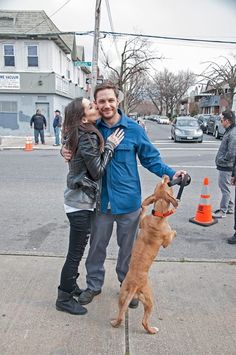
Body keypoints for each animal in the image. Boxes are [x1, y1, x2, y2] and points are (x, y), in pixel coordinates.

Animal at [111, 177, 178, 336]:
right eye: (168, 186)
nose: (166, 176)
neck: (159, 215)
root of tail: (135, 285)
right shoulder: (166, 241)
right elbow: (171, 235)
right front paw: (176, 232)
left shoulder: (142, 222)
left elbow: (142, 213)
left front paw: (143, 208)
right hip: (149, 301)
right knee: (144, 321)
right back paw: (152, 330)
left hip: (122, 297)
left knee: (120, 315)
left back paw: (114, 322)